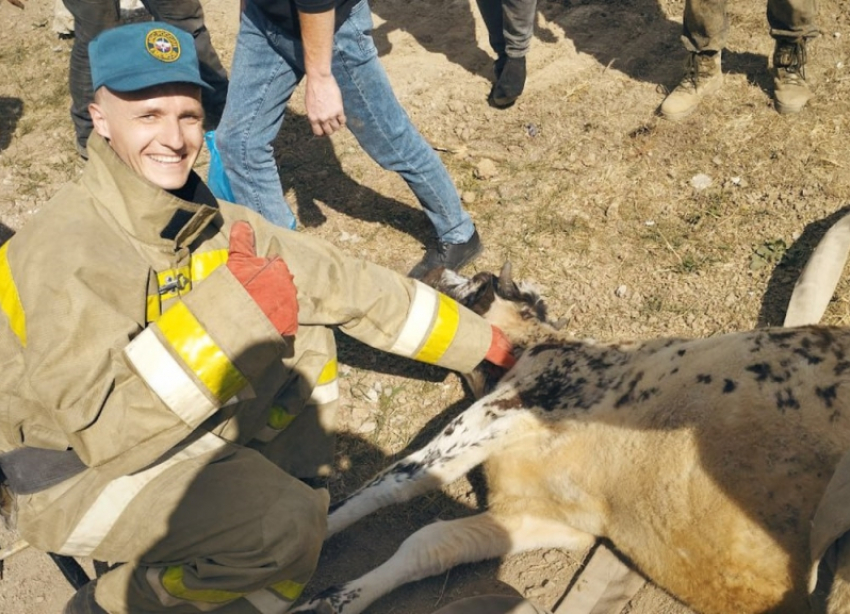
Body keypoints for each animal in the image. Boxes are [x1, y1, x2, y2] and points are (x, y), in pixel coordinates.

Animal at [294, 264, 848, 614]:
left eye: (476, 282)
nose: (439, 271)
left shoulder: (513, 406)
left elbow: (401, 478)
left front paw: (312, 537)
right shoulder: (561, 518)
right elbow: (433, 542)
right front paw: (330, 601)